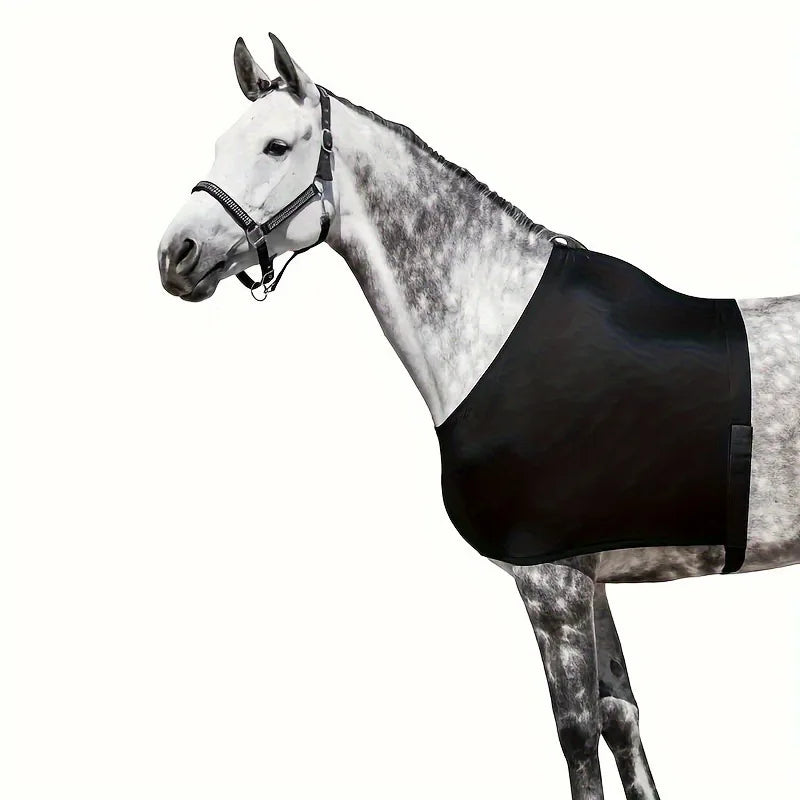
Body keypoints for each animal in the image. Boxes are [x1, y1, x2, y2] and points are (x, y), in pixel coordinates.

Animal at [157, 34, 799, 800]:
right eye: (221, 142)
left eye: (277, 146)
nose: (175, 255)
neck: (493, 328)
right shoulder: (589, 580)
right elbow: (623, 720)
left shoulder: (551, 584)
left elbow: (579, 737)